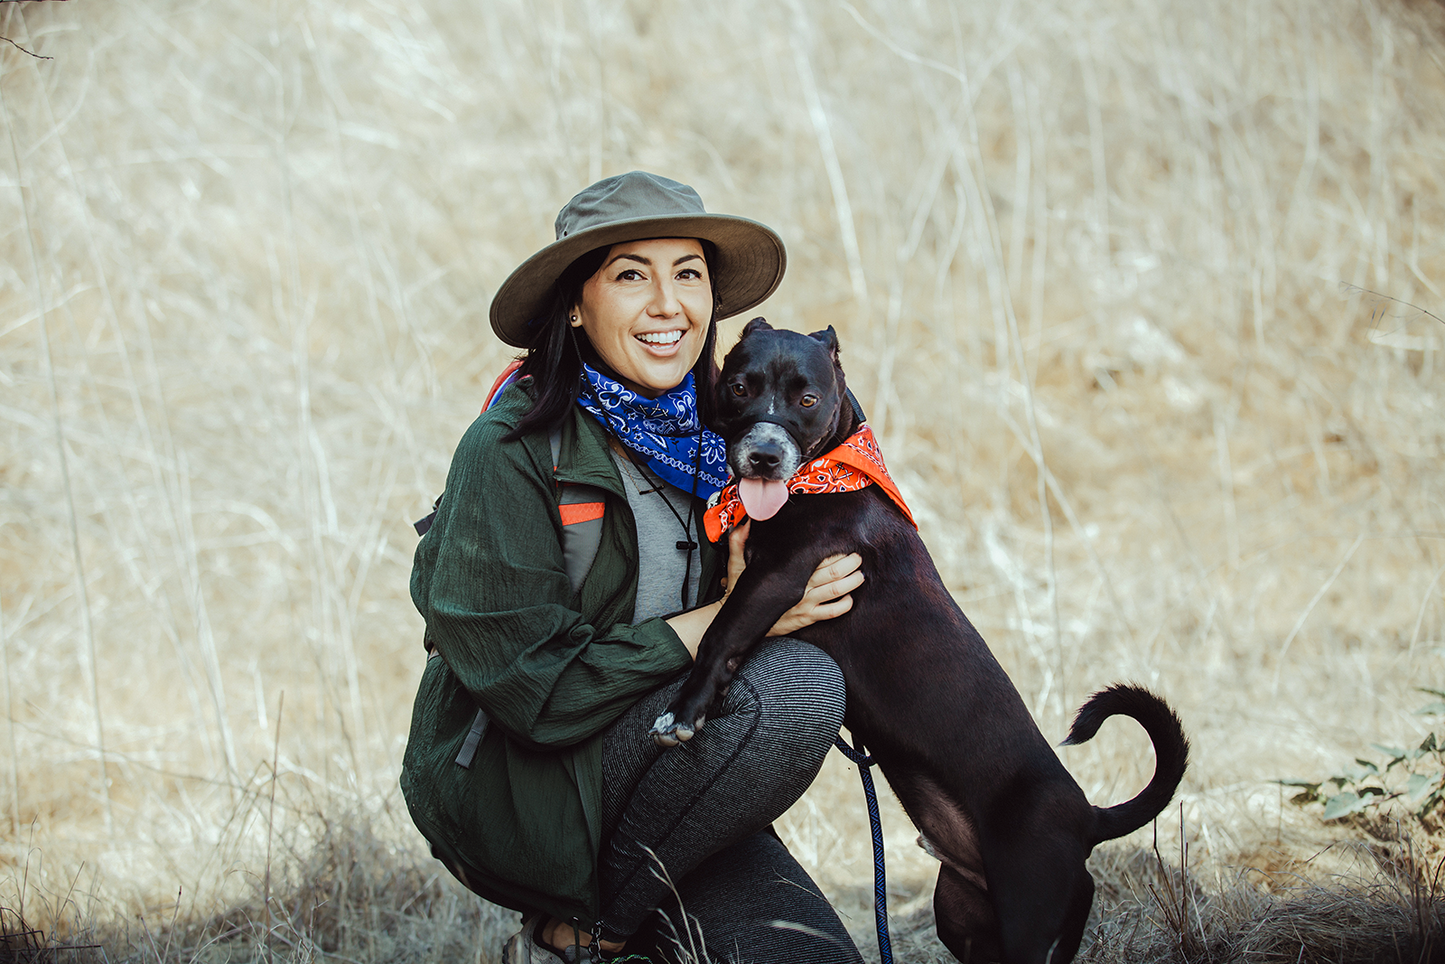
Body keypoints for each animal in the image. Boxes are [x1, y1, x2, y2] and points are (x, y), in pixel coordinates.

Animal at [653, 322, 1184, 964]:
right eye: (738, 387)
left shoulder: (777, 578)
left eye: (807, 399)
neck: (823, 476)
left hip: (1032, 910)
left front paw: (683, 713)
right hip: (962, 913)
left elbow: (716, 635)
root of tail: (1087, 816)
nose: (764, 455)